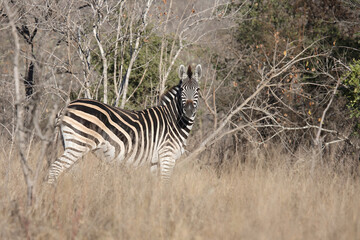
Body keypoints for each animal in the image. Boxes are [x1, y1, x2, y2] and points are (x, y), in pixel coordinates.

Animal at [47, 64, 202, 184]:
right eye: (182, 90)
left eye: (197, 90)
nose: (189, 110)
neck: (174, 121)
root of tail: (66, 107)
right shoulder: (167, 155)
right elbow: (165, 183)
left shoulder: (155, 161)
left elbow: (154, 184)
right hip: (78, 144)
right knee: (55, 168)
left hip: (70, 143)